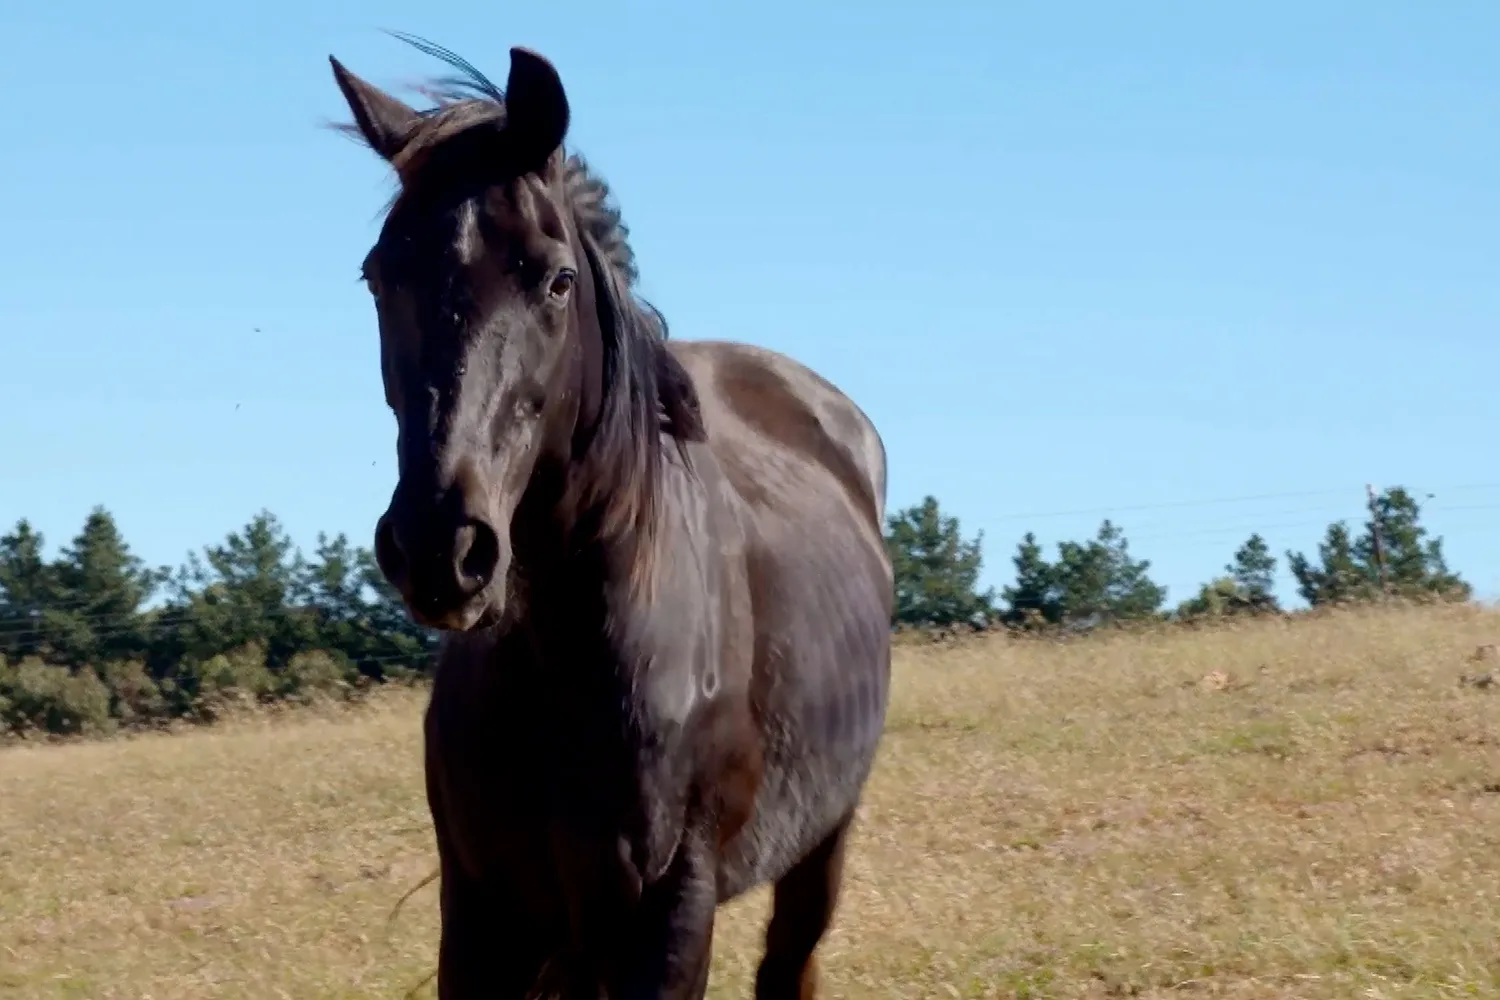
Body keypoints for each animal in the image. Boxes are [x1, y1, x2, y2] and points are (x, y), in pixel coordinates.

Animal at [328, 36, 893, 999]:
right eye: (378, 275)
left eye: (557, 279)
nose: (442, 546)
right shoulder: (483, 917)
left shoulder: (667, 918)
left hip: (823, 844)